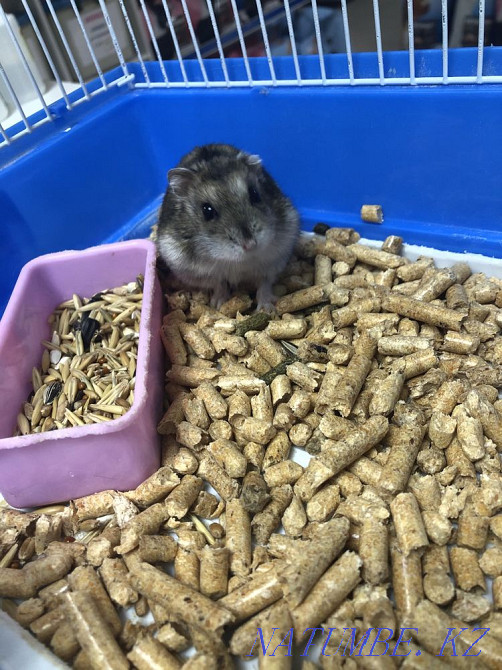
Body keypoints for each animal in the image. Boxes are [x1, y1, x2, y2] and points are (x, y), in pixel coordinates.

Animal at [156, 143, 300, 310]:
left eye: (255, 194)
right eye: (207, 210)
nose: (250, 245)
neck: (240, 261)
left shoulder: (275, 260)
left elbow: (264, 283)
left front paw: (266, 308)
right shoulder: (196, 272)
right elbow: (219, 284)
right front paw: (218, 304)